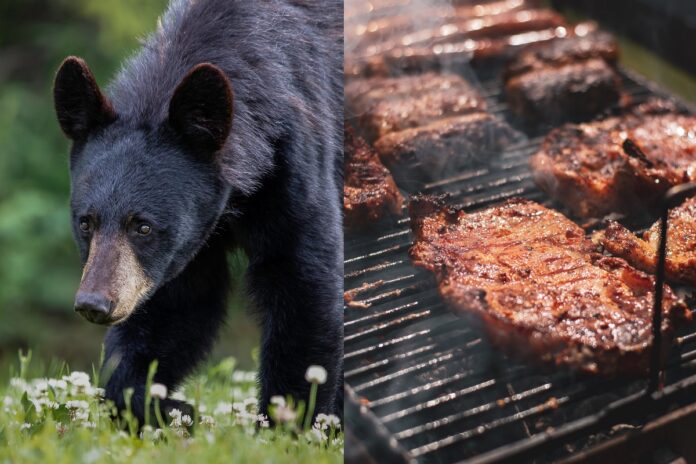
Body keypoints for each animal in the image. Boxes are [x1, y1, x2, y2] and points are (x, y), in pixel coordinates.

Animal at [52, 0, 343, 423]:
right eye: (86, 223)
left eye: (143, 226)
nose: (94, 304)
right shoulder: (182, 245)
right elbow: (176, 306)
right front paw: (164, 405)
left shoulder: (296, 160)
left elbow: (303, 278)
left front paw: (287, 422)